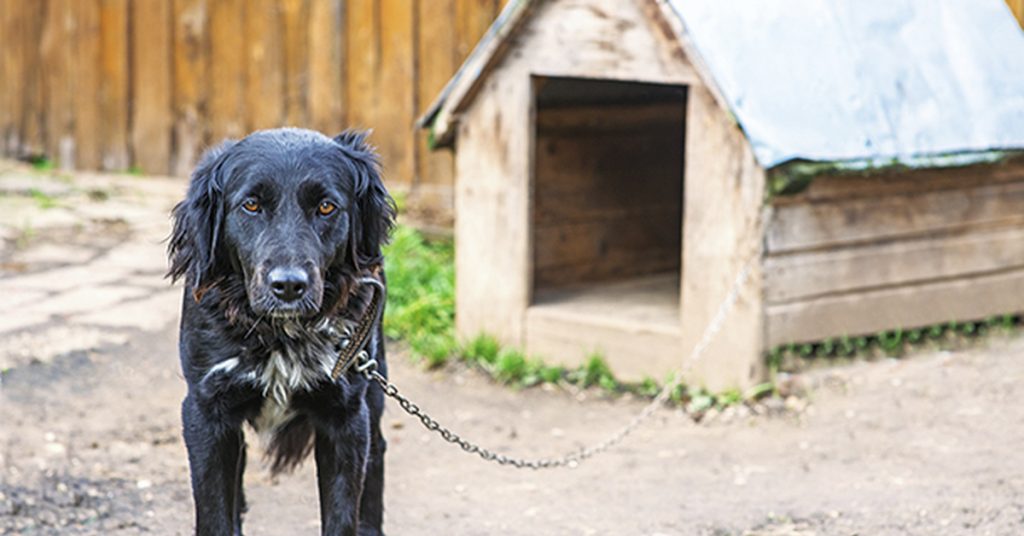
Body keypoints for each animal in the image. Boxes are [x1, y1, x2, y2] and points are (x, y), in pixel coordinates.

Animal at [165, 128, 393, 532]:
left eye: (326, 207)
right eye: (251, 205)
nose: (288, 286)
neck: (279, 334)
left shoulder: (346, 416)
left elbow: (341, 515)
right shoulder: (206, 410)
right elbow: (214, 514)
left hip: (375, 382)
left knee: (377, 452)